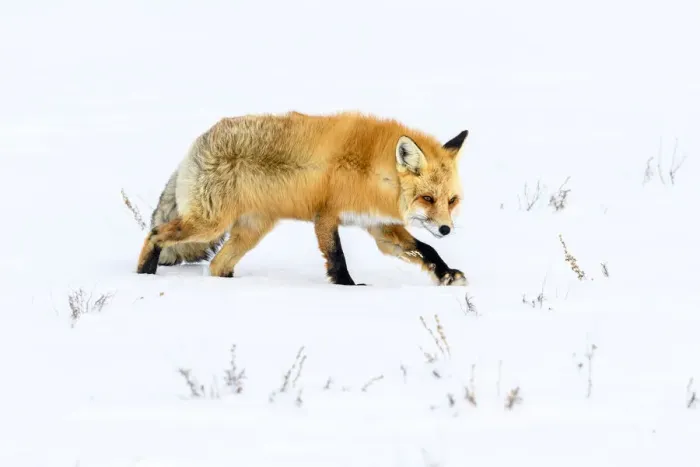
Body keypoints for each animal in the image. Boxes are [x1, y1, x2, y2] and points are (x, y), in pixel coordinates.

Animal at [137, 111, 469, 286]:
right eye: (427, 198)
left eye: (451, 201)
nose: (446, 229)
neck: (372, 172)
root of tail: (195, 144)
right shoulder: (326, 216)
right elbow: (337, 257)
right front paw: (348, 288)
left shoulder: (379, 227)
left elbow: (425, 249)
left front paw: (447, 274)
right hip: (210, 224)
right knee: (155, 233)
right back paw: (144, 275)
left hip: (250, 231)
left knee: (218, 265)